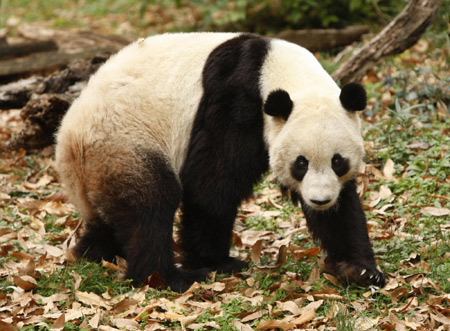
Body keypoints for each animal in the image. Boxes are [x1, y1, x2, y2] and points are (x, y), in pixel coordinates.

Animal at [54, 33, 384, 294]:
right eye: (300, 163)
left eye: (338, 161)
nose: (320, 200)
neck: (278, 71)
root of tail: (68, 142)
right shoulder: (236, 101)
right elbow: (211, 185)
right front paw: (216, 262)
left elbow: (342, 210)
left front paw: (360, 270)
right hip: (125, 142)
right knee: (150, 205)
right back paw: (167, 278)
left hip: (102, 165)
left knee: (112, 217)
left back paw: (91, 252)